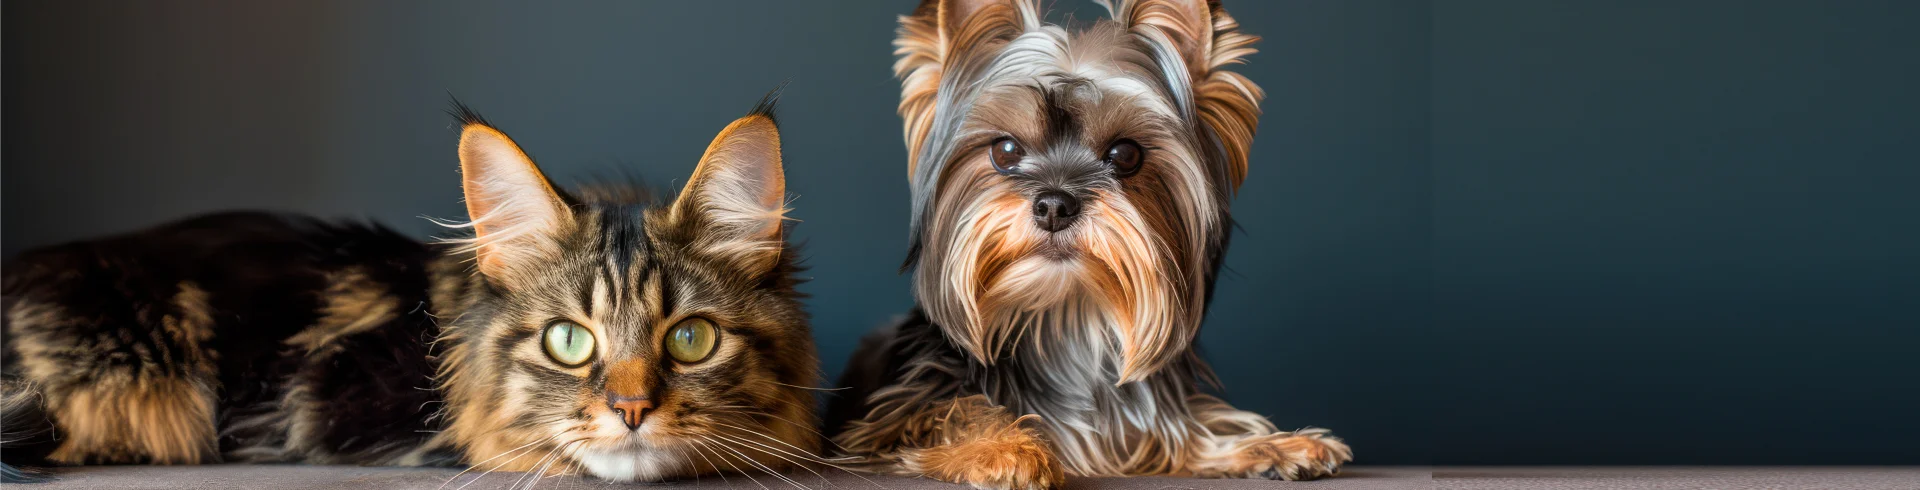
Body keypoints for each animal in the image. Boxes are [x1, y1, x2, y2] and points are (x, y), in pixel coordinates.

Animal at [825, 0, 1351, 490]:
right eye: (1005, 150)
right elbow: (952, 413)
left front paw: (1279, 446)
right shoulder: (892, 419)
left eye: (1125, 154)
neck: (1067, 316)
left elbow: (1188, 434)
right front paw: (1005, 450)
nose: (1054, 205)